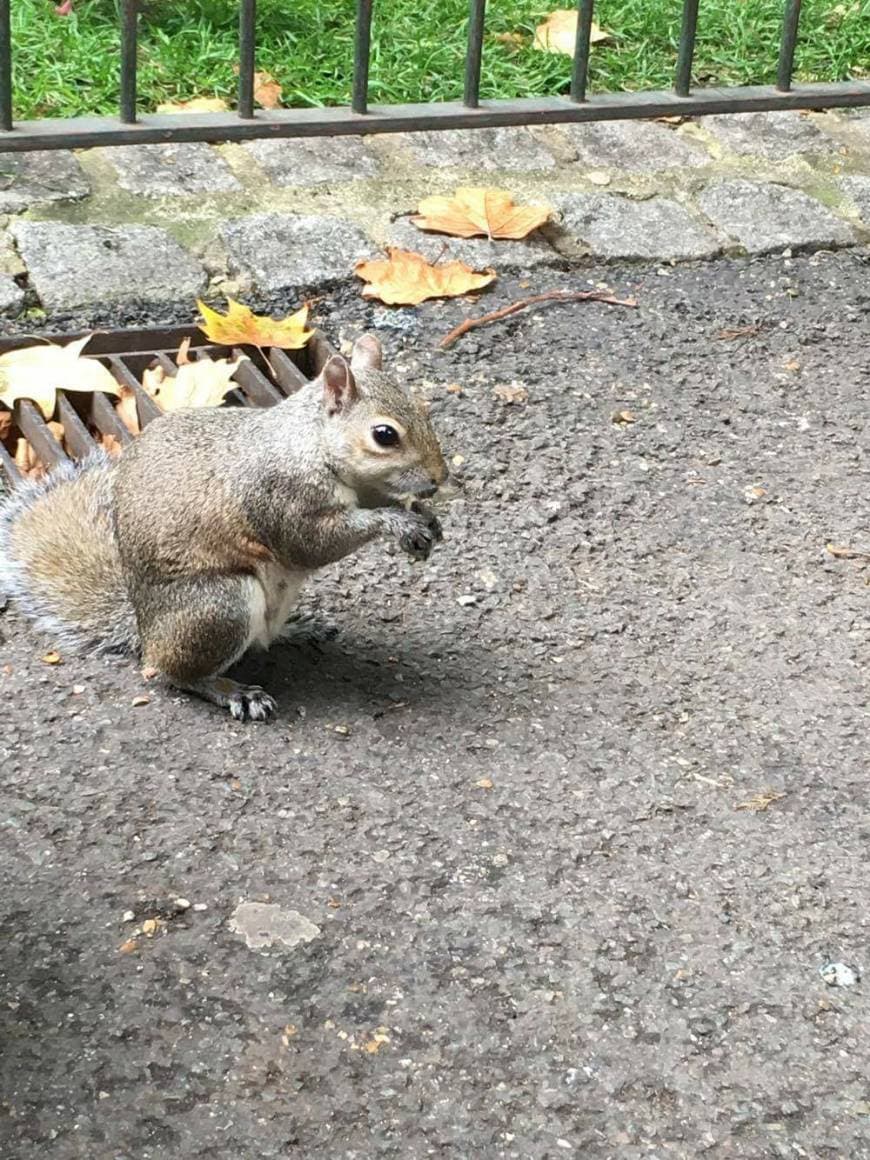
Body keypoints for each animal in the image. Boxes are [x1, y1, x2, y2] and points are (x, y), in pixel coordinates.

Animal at [0, 331, 450, 719]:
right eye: (384, 435)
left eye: (424, 410)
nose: (440, 478)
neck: (312, 444)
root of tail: (145, 629)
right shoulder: (279, 497)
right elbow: (312, 544)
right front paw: (397, 523)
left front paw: (425, 518)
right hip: (220, 605)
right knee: (172, 671)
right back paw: (231, 690)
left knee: (262, 639)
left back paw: (296, 628)